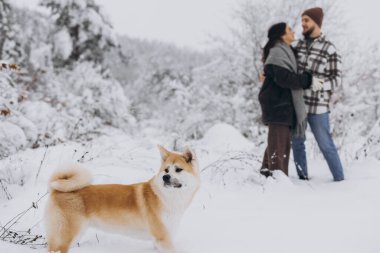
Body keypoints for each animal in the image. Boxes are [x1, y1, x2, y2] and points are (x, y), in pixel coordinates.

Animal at [45, 145, 200, 252]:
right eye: (166, 170)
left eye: (178, 169)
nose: (165, 177)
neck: (169, 197)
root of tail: (55, 190)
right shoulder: (163, 238)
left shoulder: (158, 241)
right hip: (68, 234)